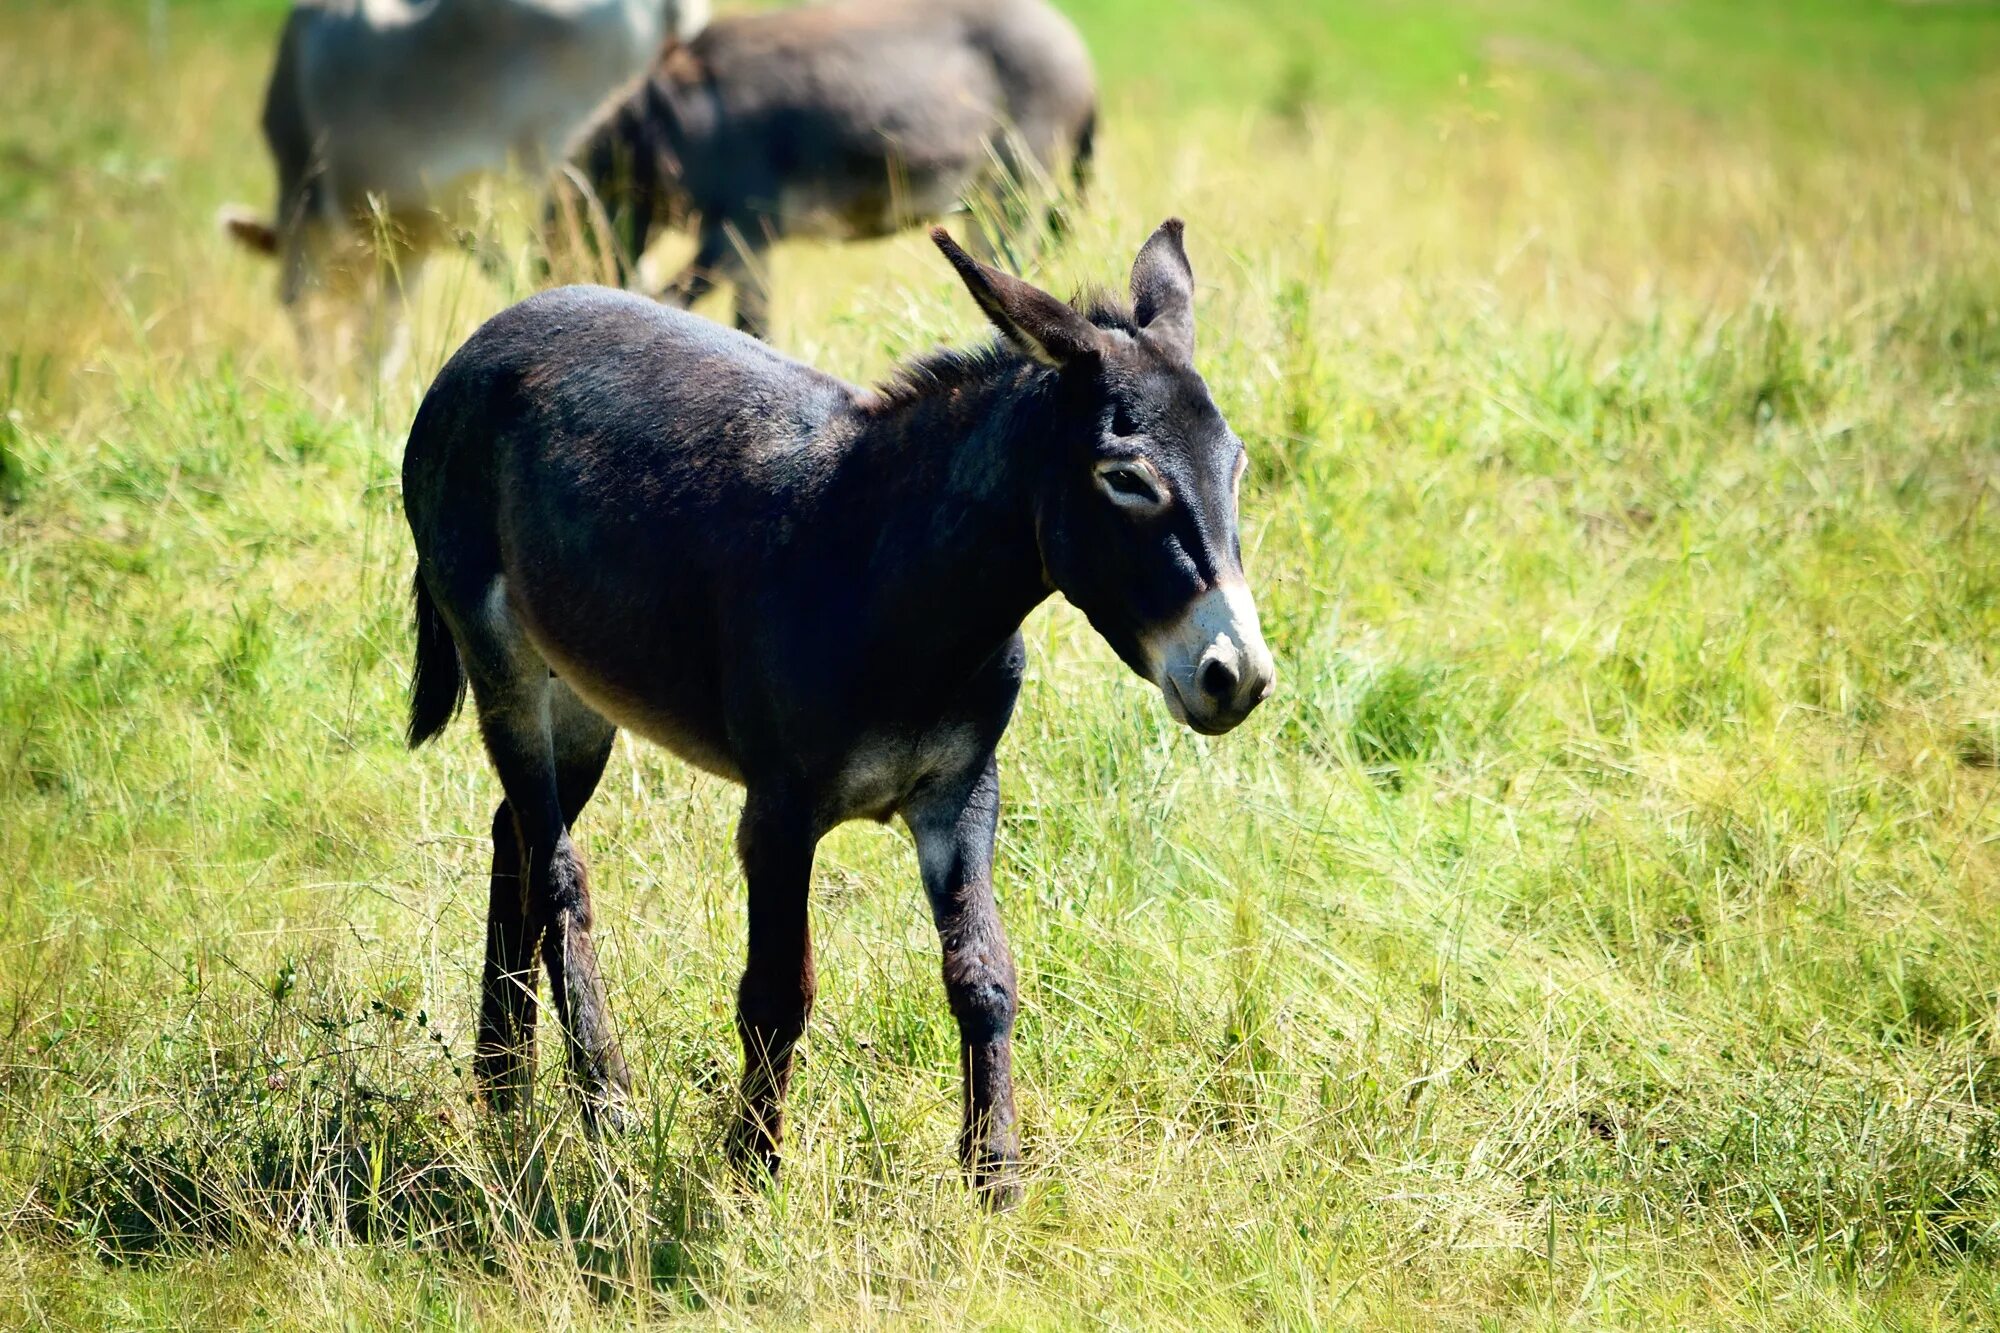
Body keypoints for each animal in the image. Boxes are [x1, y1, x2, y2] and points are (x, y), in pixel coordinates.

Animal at [406, 218, 1272, 1192]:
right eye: (1126, 478)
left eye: (1236, 467)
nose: (1238, 675)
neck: (905, 595)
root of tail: (492, 332)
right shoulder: (779, 812)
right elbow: (779, 991)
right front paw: (751, 1166)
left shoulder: (961, 793)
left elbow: (985, 975)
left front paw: (995, 1174)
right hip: (503, 661)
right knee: (558, 870)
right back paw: (603, 1096)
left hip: (582, 687)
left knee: (512, 835)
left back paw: (502, 1083)